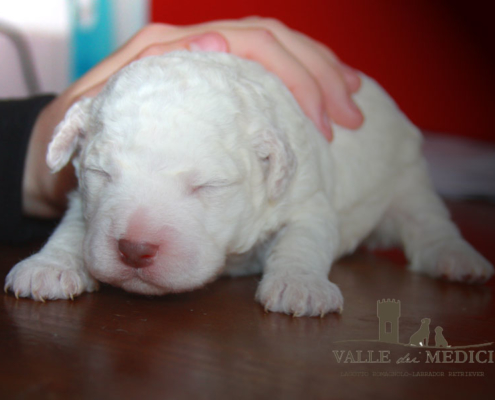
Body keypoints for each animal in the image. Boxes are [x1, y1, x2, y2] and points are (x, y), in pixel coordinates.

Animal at [5, 52, 494, 316]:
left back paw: (459, 260)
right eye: (102, 174)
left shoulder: (307, 197)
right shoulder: (83, 198)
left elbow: (303, 238)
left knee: (430, 224)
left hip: (408, 178)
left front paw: (300, 286)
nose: (134, 250)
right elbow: (75, 226)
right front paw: (49, 265)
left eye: (207, 186)